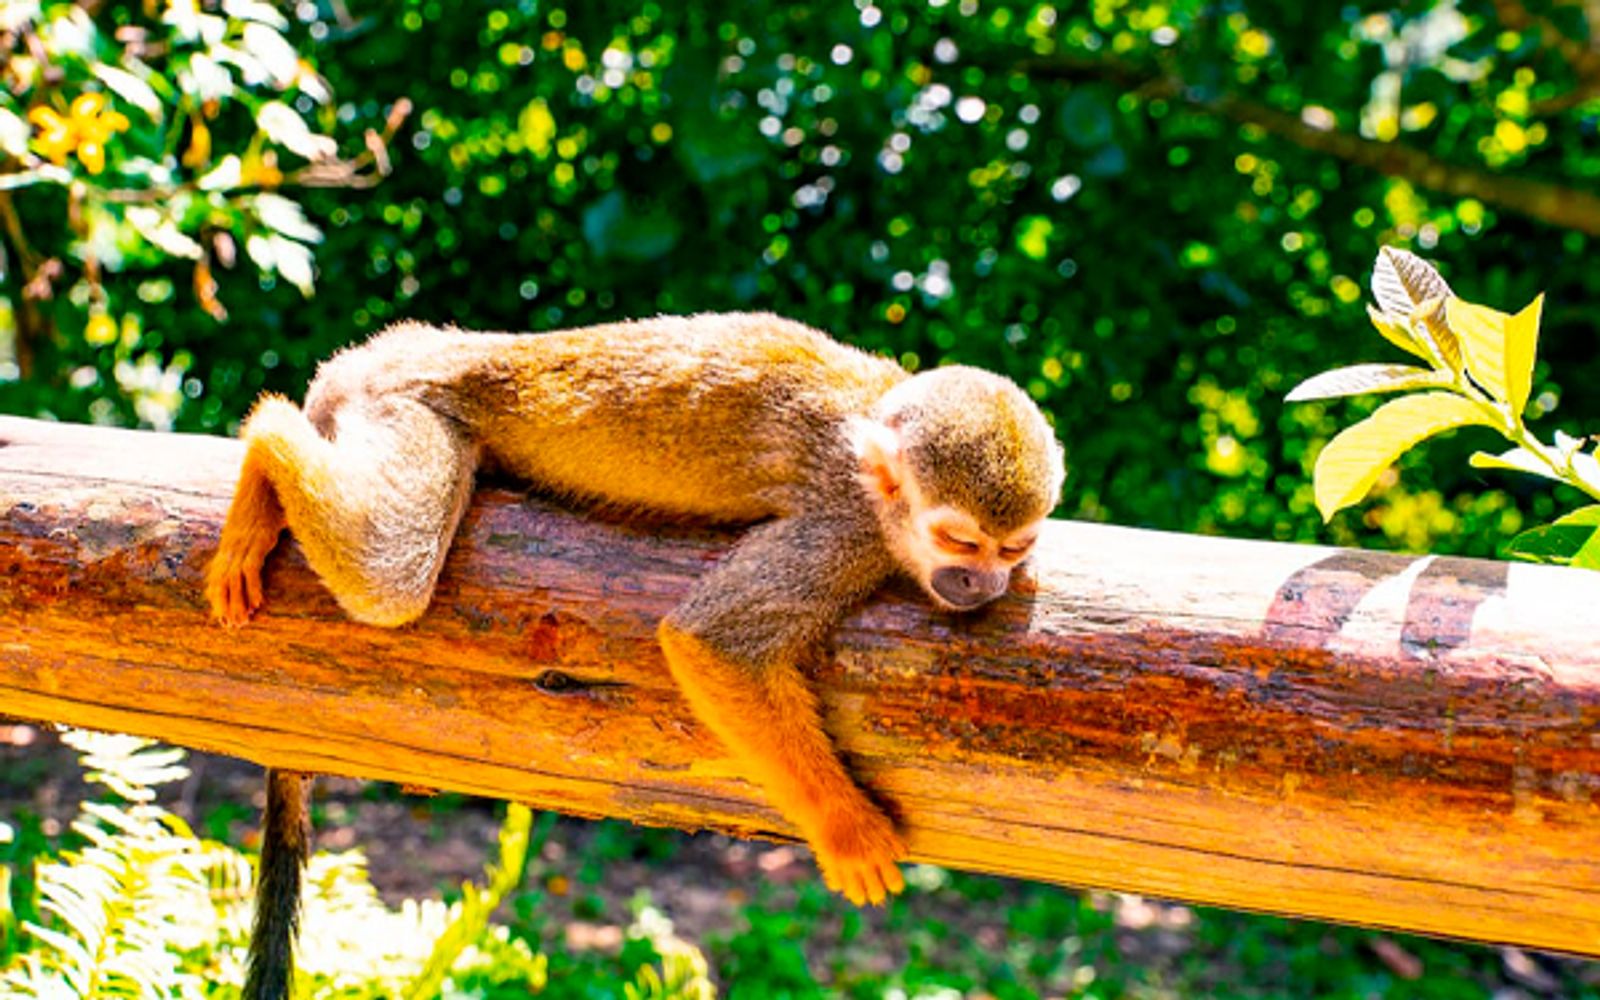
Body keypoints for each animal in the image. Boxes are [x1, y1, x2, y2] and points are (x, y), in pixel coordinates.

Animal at [205, 312, 1064, 1000]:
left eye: (1013, 547)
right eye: (960, 542)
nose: (980, 583)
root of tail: (385, 350)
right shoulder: (845, 525)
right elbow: (714, 641)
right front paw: (846, 828)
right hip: (403, 403)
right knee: (387, 577)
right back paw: (266, 439)